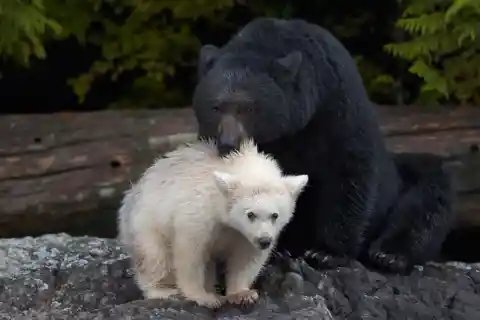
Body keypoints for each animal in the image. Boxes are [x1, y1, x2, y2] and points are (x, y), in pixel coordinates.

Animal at [190, 16, 454, 272]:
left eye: (247, 108)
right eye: (215, 107)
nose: (228, 143)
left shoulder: (337, 105)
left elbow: (349, 170)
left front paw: (327, 253)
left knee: (426, 200)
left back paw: (389, 254)